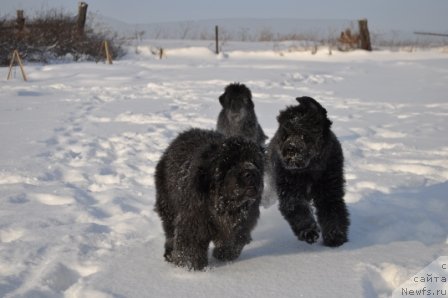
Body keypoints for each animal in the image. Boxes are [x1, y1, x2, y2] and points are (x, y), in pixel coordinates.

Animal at [155, 128, 264, 270]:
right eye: (232, 163)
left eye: (254, 162)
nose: (250, 173)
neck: (225, 204)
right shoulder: (194, 221)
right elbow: (191, 246)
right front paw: (191, 266)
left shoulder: (244, 221)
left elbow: (234, 241)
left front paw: (224, 255)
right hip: (169, 206)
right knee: (170, 233)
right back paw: (170, 255)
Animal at [266, 96, 350, 247]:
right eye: (285, 135)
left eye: (303, 134)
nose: (290, 149)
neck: (310, 170)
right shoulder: (289, 191)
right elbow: (297, 209)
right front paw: (308, 231)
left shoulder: (330, 190)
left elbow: (332, 211)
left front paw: (335, 236)